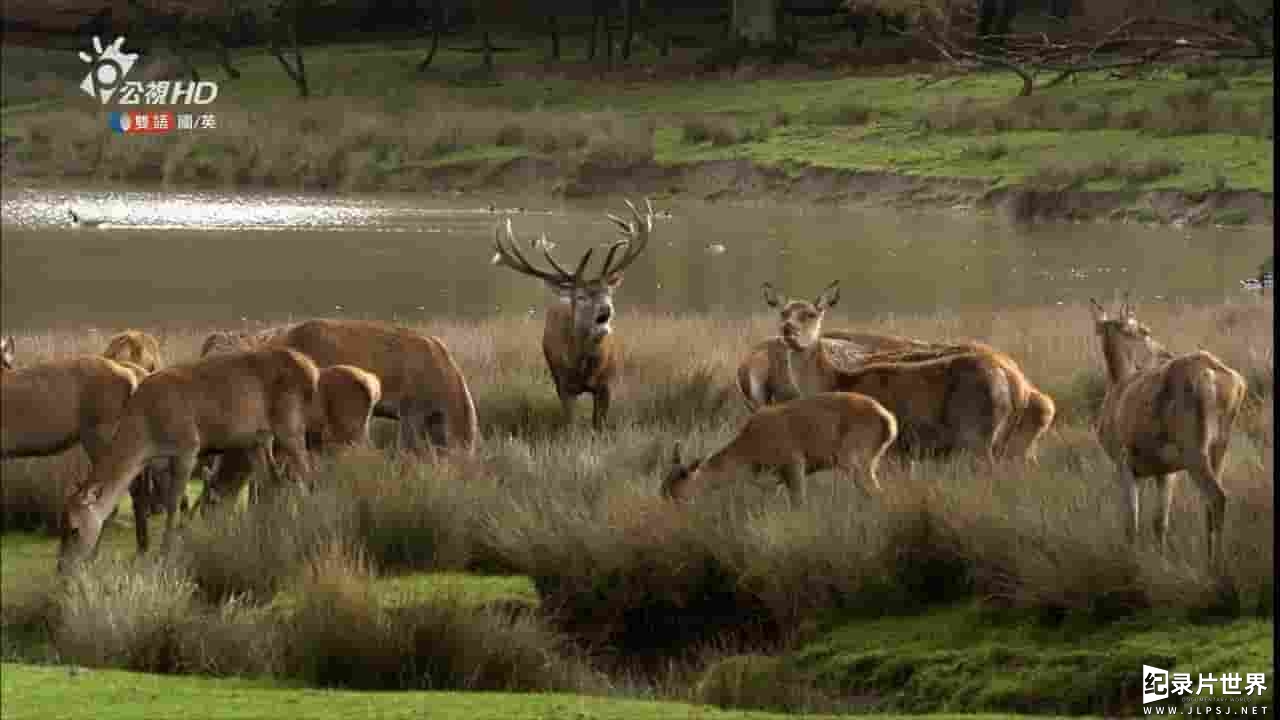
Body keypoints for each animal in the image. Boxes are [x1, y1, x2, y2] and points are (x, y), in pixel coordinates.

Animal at [58, 348, 320, 571]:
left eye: (74, 529)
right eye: (60, 526)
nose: (62, 568)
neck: (146, 434)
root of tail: (312, 370)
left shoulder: (188, 448)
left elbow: (173, 503)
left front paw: (165, 553)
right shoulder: (160, 463)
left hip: (290, 424)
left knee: (308, 476)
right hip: (256, 440)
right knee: (273, 481)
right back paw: (267, 534)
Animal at [491, 197, 655, 425]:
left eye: (609, 293)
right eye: (581, 297)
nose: (606, 310)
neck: (584, 368)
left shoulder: (607, 383)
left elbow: (599, 424)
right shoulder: (563, 386)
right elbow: (570, 424)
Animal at [660, 389, 901, 502]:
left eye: (681, 481)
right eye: (664, 482)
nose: (665, 498)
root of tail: (888, 419)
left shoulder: (794, 465)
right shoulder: (774, 481)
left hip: (855, 460)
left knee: (876, 492)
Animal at [1090, 293, 1239, 566]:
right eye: (1144, 331)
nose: (1166, 352)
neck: (1117, 385)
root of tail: (1214, 375)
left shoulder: (1123, 462)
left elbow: (1131, 522)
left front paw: (1132, 561)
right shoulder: (1165, 471)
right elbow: (1160, 522)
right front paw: (1161, 561)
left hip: (1194, 449)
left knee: (1217, 496)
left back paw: (1216, 566)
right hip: (1220, 447)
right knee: (1210, 501)